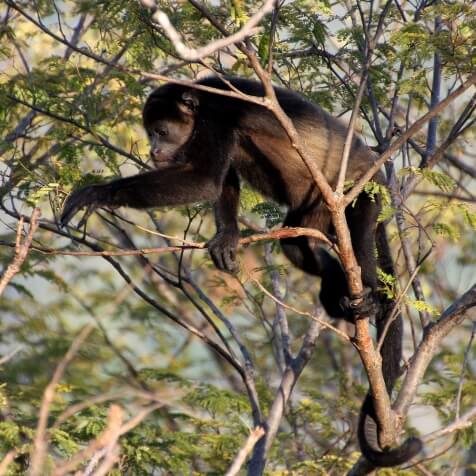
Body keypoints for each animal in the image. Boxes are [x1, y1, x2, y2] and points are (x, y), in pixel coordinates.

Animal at [61, 76, 422, 466]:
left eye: (161, 131)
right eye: (151, 132)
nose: (153, 150)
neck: (200, 102)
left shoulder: (217, 117)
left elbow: (204, 179)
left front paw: (99, 193)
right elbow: (223, 180)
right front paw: (227, 237)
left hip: (363, 192)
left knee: (359, 236)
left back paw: (368, 295)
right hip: (312, 213)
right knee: (297, 244)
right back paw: (334, 286)